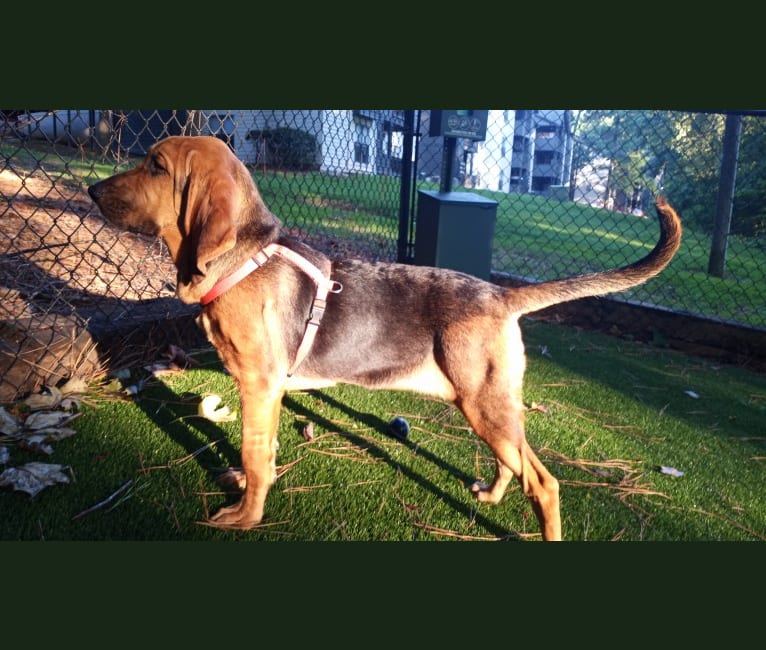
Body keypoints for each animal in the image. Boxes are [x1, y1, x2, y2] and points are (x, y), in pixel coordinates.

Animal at [90, 134, 684, 540]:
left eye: (156, 166)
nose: (92, 190)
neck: (245, 257)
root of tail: (500, 295)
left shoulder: (259, 386)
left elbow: (258, 457)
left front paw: (245, 516)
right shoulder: (269, 393)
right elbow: (264, 451)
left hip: (485, 405)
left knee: (545, 483)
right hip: (491, 405)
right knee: (514, 464)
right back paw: (491, 495)